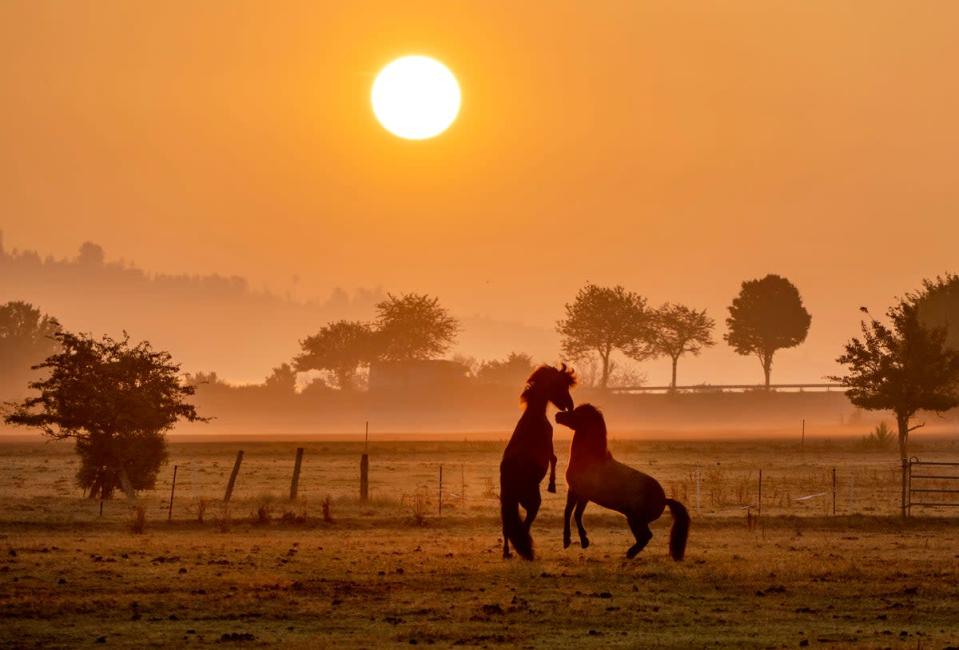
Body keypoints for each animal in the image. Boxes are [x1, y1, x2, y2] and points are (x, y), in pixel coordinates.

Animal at [498, 362, 572, 560]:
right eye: (561, 385)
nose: (570, 405)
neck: (533, 416)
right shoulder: (548, 446)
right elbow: (554, 459)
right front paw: (552, 485)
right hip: (532, 502)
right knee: (524, 526)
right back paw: (527, 551)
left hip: (510, 503)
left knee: (508, 527)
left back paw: (508, 552)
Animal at [556, 402, 688, 560]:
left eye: (577, 413)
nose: (557, 416)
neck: (588, 459)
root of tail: (664, 499)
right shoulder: (579, 493)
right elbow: (572, 513)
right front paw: (577, 541)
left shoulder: (579, 493)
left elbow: (572, 513)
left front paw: (574, 541)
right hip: (635, 519)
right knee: (644, 537)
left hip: (635, 519)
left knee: (646, 536)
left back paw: (629, 553)